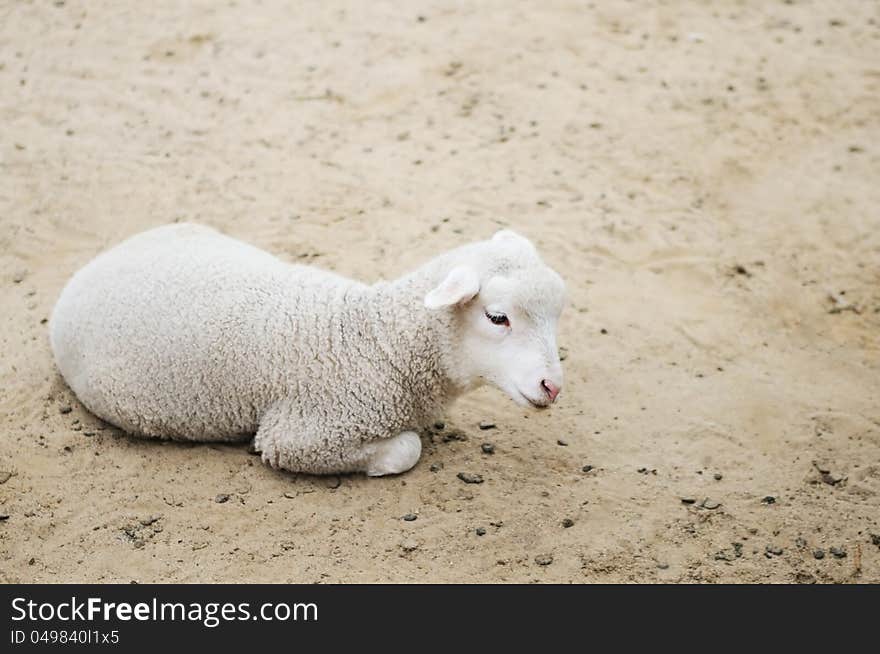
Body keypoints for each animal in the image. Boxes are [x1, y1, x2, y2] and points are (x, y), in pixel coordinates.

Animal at [51, 224, 568, 476]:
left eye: (557, 312)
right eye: (497, 318)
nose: (553, 387)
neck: (376, 338)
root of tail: (99, 261)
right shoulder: (300, 436)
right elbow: (407, 449)